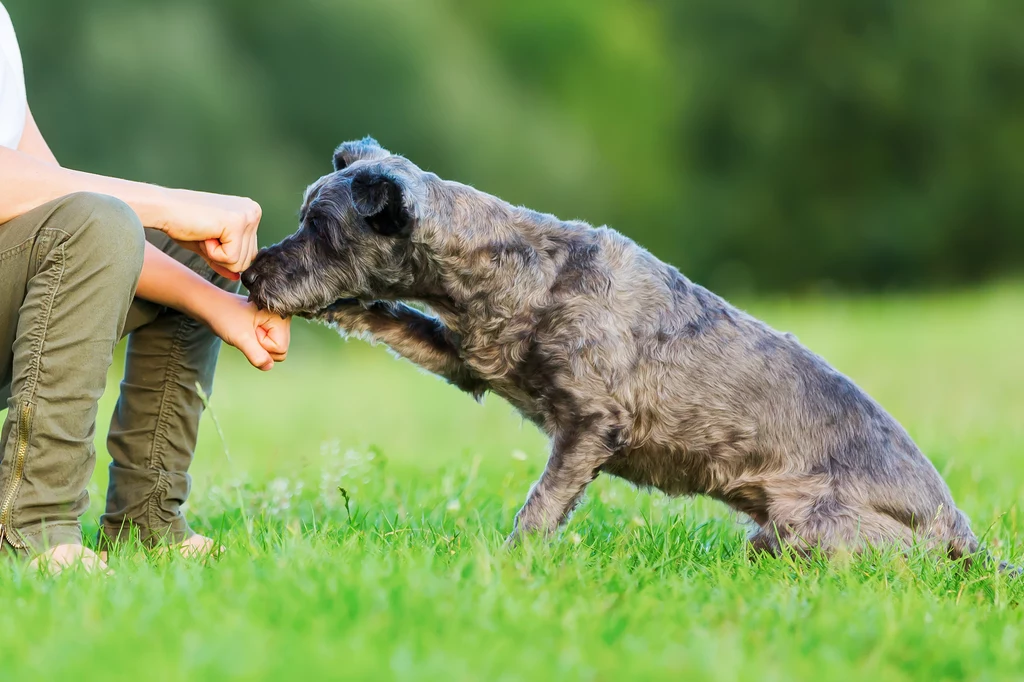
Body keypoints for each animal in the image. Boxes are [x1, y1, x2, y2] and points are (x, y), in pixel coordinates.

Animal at [243, 137, 995, 561]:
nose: (252, 275)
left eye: (322, 227)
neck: (526, 270)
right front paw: (340, 307)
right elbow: (395, 318)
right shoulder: (470, 362)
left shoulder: (590, 425)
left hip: (811, 530)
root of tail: (961, 534)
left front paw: (514, 562)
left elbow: (543, 503)